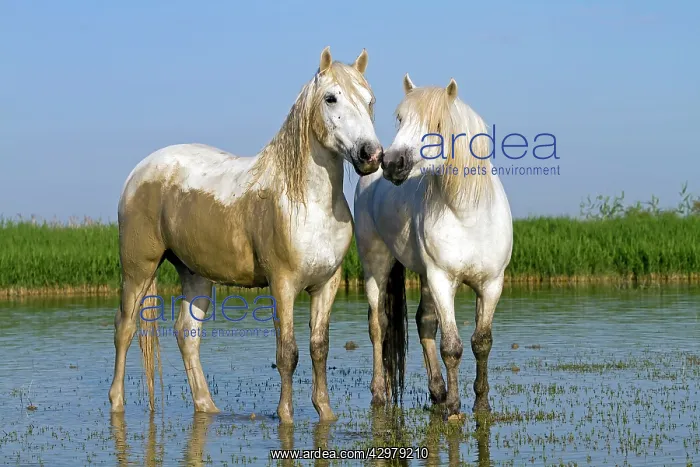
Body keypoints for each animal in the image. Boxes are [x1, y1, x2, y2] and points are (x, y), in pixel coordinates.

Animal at [108, 46, 383, 424]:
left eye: (370, 100)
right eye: (331, 98)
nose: (371, 154)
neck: (307, 202)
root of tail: (138, 173)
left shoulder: (326, 285)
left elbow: (319, 348)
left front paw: (325, 412)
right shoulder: (282, 285)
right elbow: (287, 353)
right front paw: (285, 415)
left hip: (195, 275)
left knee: (187, 334)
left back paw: (207, 406)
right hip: (138, 269)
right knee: (125, 328)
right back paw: (117, 402)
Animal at [353, 74, 513, 419]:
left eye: (438, 124)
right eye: (401, 119)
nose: (391, 162)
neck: (468, 215)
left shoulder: (491, 285)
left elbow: (481, 341)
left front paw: (481, 403)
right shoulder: (443, 279)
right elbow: (451, 347)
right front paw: (453, 408)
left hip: (425, 277)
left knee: (424, 323)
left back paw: (437, 391)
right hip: (377, 266)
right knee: (378, 325)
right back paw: (380, 393)